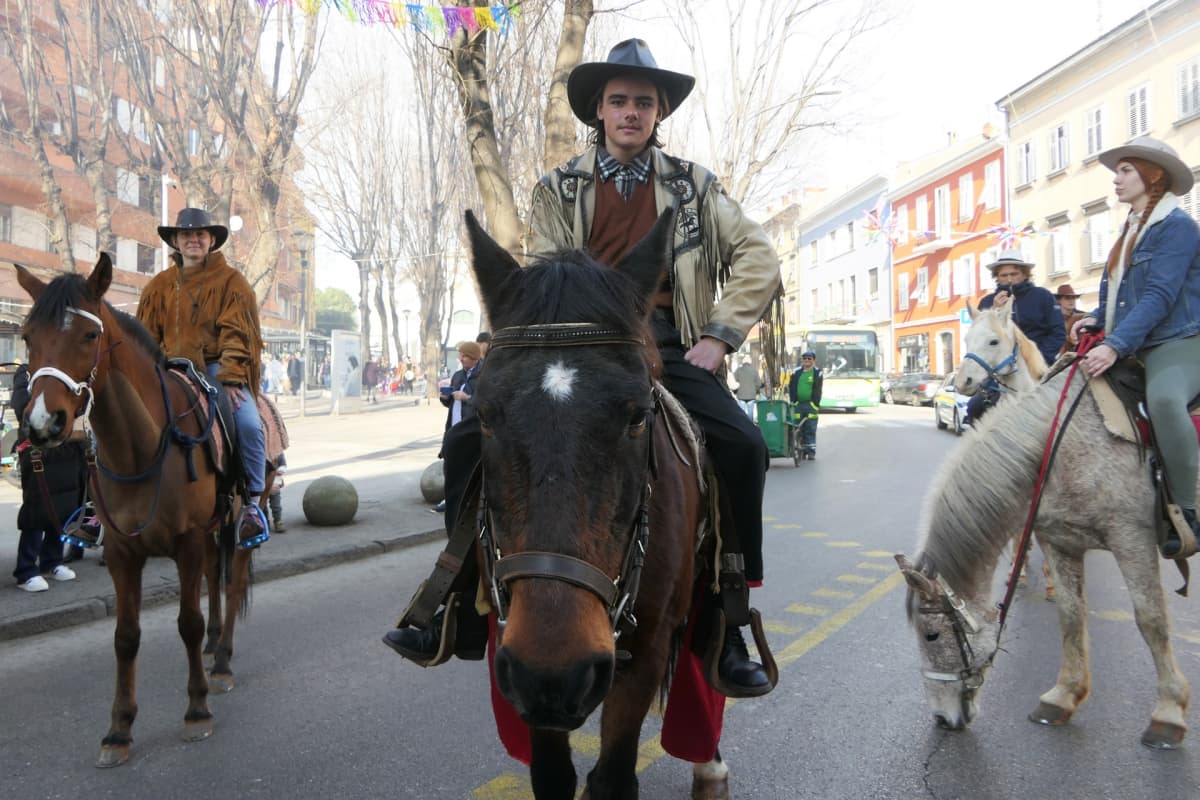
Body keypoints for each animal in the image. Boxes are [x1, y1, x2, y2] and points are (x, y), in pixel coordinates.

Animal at [16, 255, 257, 768]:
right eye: (26, 336)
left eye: (90, 335)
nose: (43, 422)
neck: (141, 448)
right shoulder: (123, 553)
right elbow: (126, 637)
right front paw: (118, 730)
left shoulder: (186, 541)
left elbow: (187, 623)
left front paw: (196, 710)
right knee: (215, 579)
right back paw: (214, 650)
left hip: (241, 520)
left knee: (232, 583)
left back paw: (222, 660)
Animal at [462, 209, 731, 799]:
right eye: (485, 415)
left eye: (638, 416)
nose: (555, 670)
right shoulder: (524, 666)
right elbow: (552, 775)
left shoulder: (643, 653)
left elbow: (612, 778)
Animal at [896, 361, 1191, 749]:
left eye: (931, 635)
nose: (942, 720)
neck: (1058, 446)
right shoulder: (1060, 542)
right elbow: (1070, 617)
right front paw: (1064, 696)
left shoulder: (1131, 539)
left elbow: (1151, 621)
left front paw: (1169, 712)